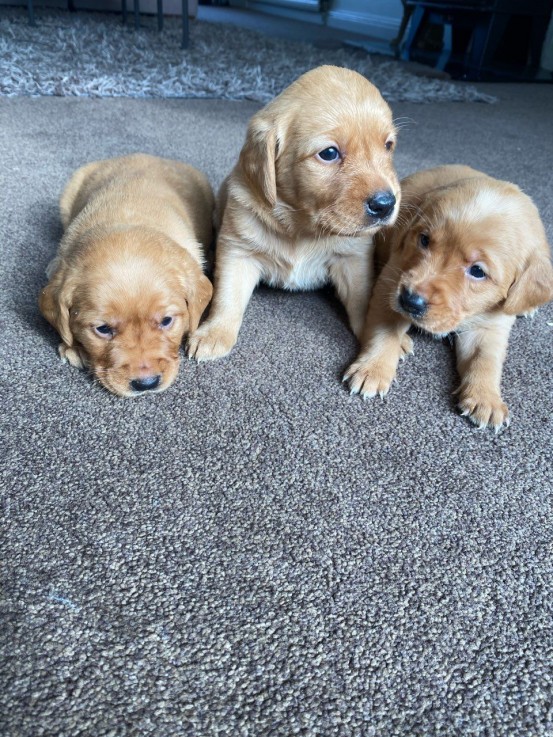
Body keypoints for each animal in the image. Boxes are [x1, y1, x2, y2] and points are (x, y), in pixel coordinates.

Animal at [188, 64, 398, 358]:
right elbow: (227, 296)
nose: (386, 204)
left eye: (388, 145)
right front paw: (215, 332)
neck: (302, 225)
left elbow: (362, 298)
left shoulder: (353, 258)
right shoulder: (237, 250)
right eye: (329, 153)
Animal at [344, 165, 552, 432]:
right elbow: (383, 332)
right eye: (424, 240)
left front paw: (487, 398)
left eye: (477, 271)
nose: (410, 300)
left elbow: (485, 359)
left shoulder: (491, 325)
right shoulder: (391, 280)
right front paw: (373, 369)